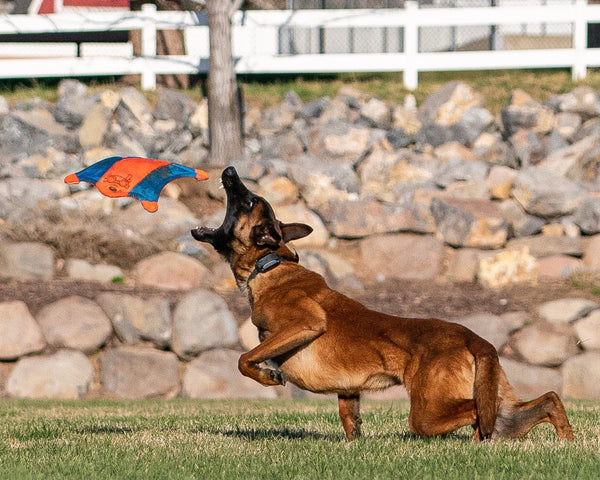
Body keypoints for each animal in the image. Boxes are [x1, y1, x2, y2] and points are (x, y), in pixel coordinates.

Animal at [191, 166, 572, 442]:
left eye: (249, 200)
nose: (229, 170)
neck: (270, 265)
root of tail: (476, 339)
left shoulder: (306, 324)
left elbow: (244, 359)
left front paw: (269, 377)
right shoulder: (348, 391)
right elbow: (350, 419)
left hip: (427, 413)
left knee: (477, 412)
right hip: (501, 404)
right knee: (546, 399)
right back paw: (565, 439)